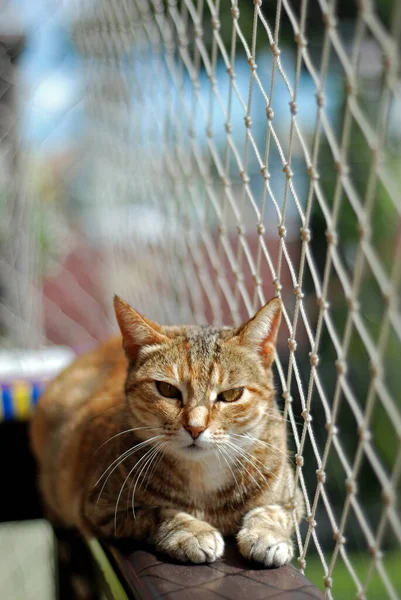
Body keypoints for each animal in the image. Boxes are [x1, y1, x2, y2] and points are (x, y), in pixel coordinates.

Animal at [29, 296, 302, 568]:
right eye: (167, 390)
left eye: (231, 395)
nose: (195, 427)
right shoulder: (99, 509)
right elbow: (160, 511)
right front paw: (192, 531)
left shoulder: (292, 497)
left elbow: (275, 511)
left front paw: (268, 535)